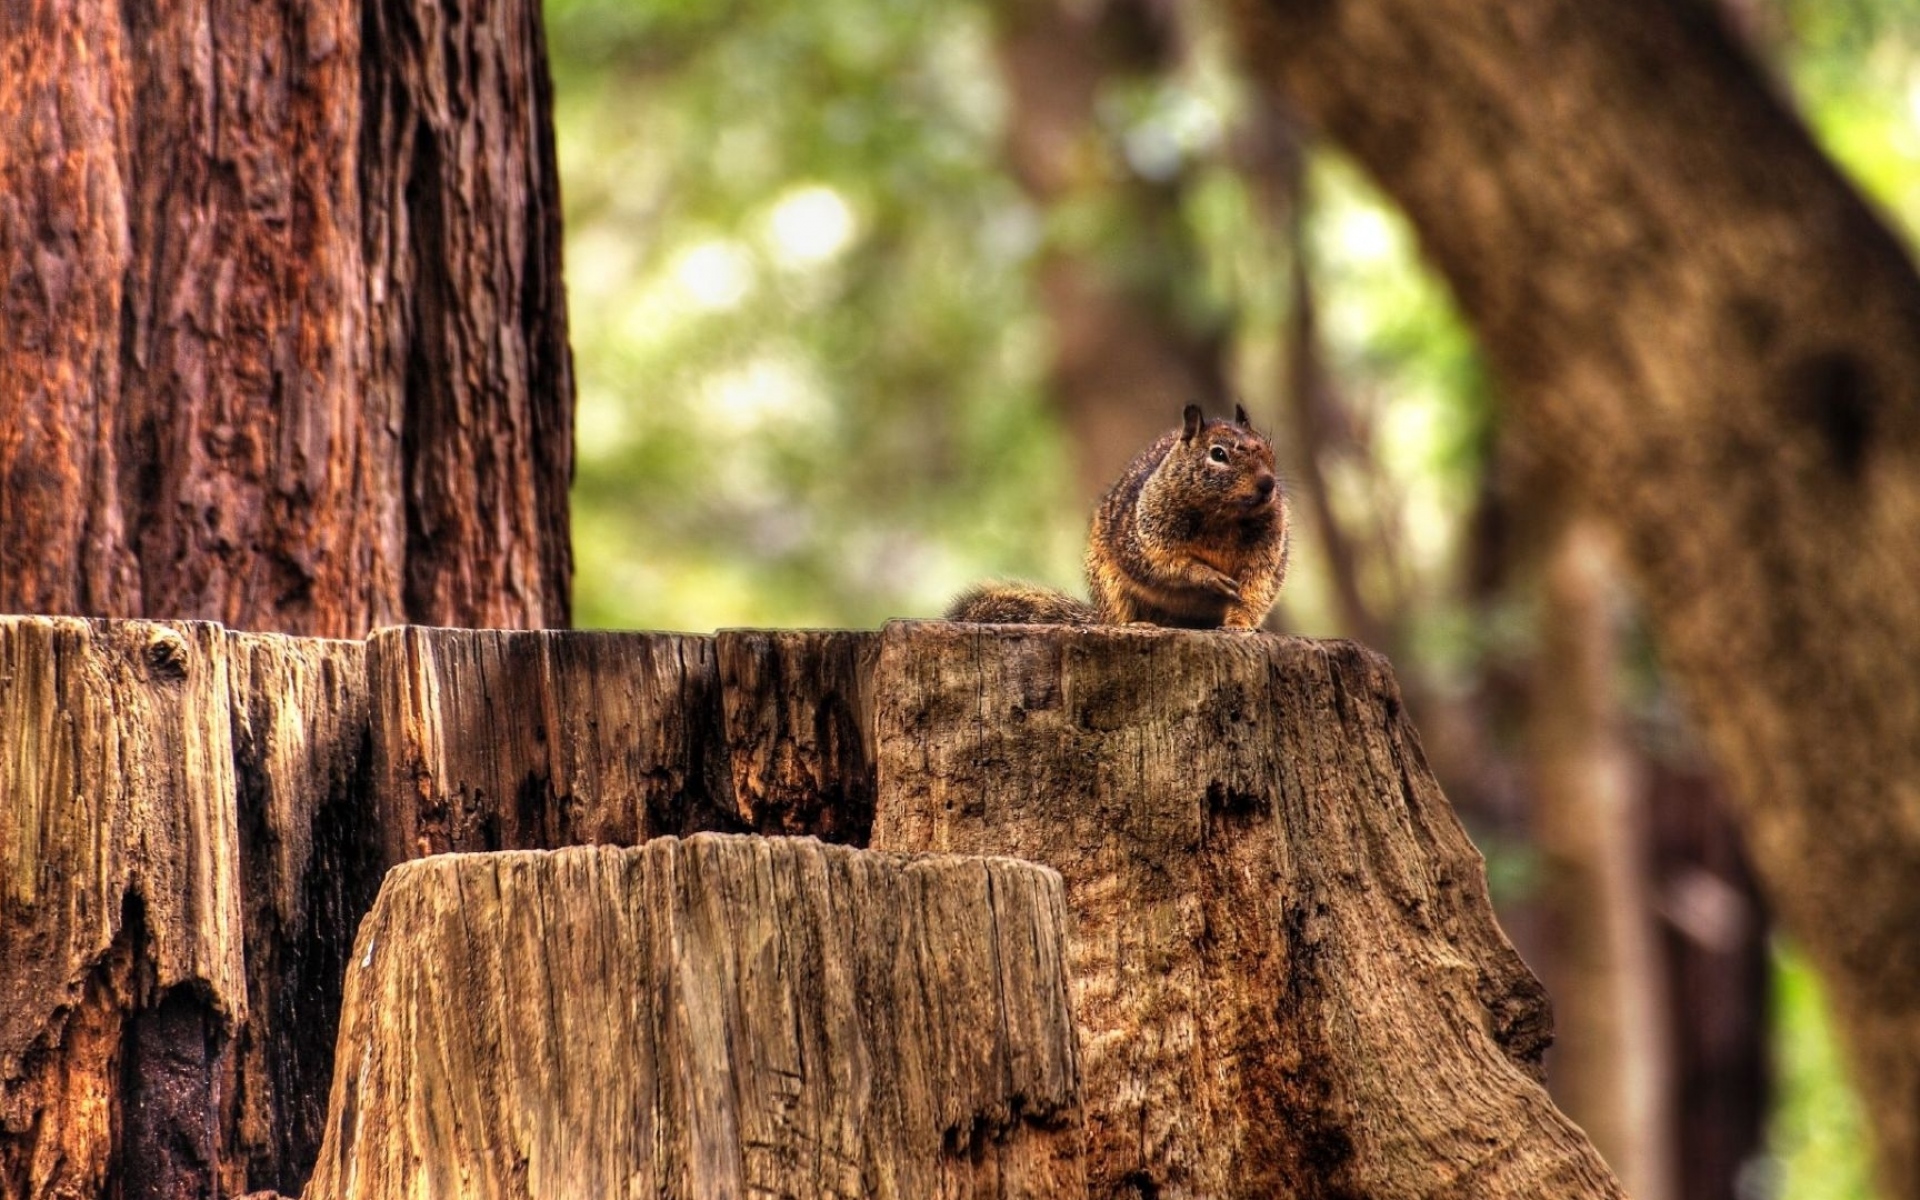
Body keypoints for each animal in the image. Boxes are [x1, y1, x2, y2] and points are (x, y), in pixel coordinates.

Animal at [946, 403, 1289, 630]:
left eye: (1270, 450)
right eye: (1218, 454)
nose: (1267, 484)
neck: (1223, 517)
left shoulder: (1266, 553)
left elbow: (1254, 589)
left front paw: (1240, 625)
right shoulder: (1145, 536)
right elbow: (1164, 565)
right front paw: (1207, 576)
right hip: (1109, 584)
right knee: (1121, 616)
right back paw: (1138, 625)